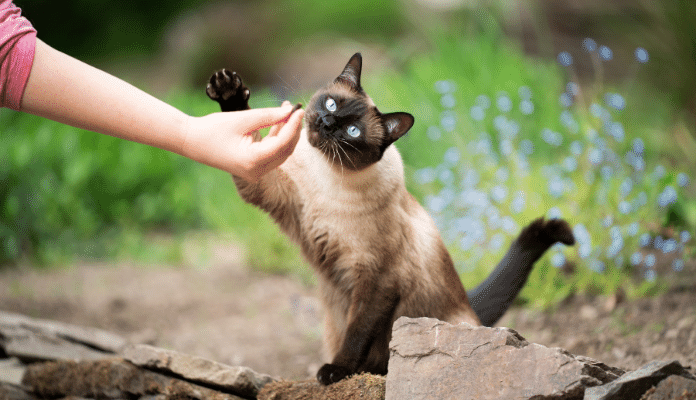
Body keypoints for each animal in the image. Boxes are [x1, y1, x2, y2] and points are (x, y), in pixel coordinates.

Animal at [206, 53, 576, 384]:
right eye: (331, 105)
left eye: (352, 131)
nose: (326, 123)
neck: (327, 176)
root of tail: (470, 308)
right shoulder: (268, 189)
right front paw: (228, 90)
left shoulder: (376, 279)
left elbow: (357, 334)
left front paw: (336, 372)